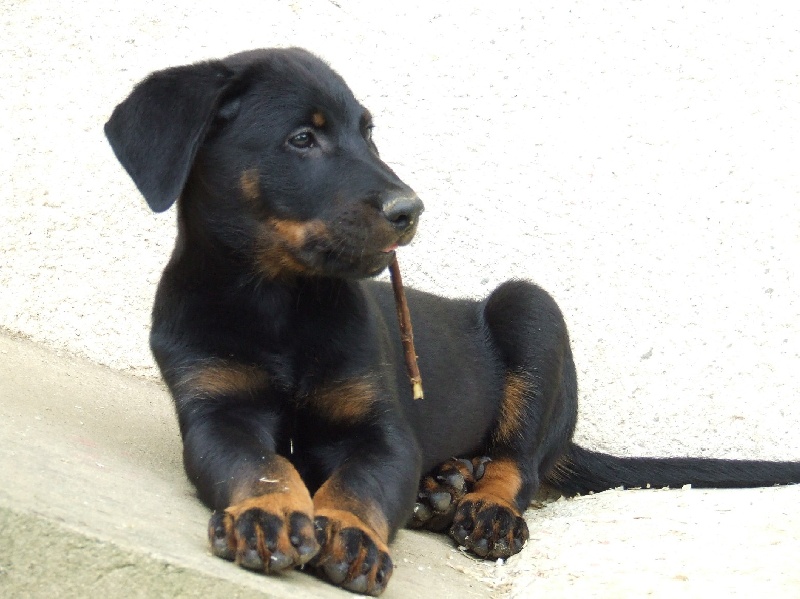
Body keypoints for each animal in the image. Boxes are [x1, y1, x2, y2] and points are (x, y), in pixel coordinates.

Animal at [106, 49, 800, 596]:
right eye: (303, 139)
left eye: (369, 133)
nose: (409, 209)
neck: (278, 300)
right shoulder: (215, 414)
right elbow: (260, 462)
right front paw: (267, 513)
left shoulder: (384, 433)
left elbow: (361, 483)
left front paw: (353, 535)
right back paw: (441, 486)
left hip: (531, 310)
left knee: (519, 462)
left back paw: (480, 504)